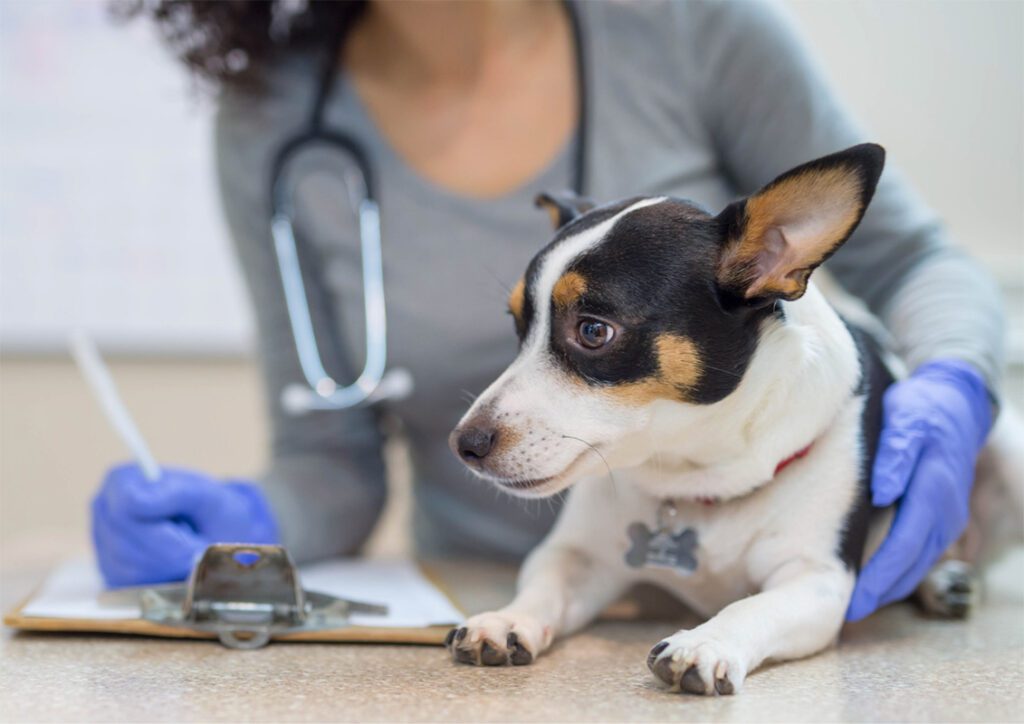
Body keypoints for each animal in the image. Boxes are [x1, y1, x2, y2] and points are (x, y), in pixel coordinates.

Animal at [444, 144, 1019, 692]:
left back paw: (941, 577)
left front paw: (707, 642)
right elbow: (544, 587)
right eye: (518, 325)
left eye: (592, 331)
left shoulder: (816, 581)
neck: (698, 475)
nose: (465, 444)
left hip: (1007, 453)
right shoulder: (578, 556)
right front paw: (507, 618)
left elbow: (752, 605)